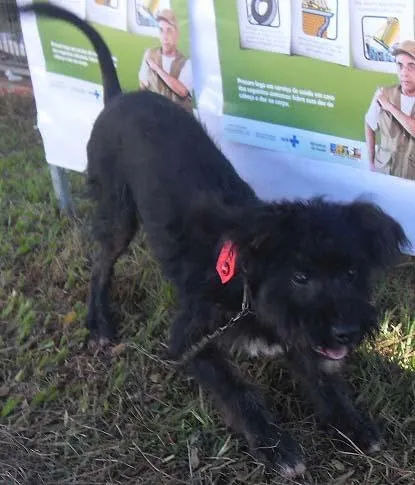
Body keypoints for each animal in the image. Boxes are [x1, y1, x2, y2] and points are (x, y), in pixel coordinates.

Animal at [21, 3, 412, 478]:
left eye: (352, 272)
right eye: (299, 277)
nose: (347, 332)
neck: (244, 283)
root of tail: (118, 97)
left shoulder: (301, 335)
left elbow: (322, 380)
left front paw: (350, 422)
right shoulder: (187, 342)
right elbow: (239, 391)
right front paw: (276, 445)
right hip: (117, 214)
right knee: (100, 263)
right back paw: (99, 322)